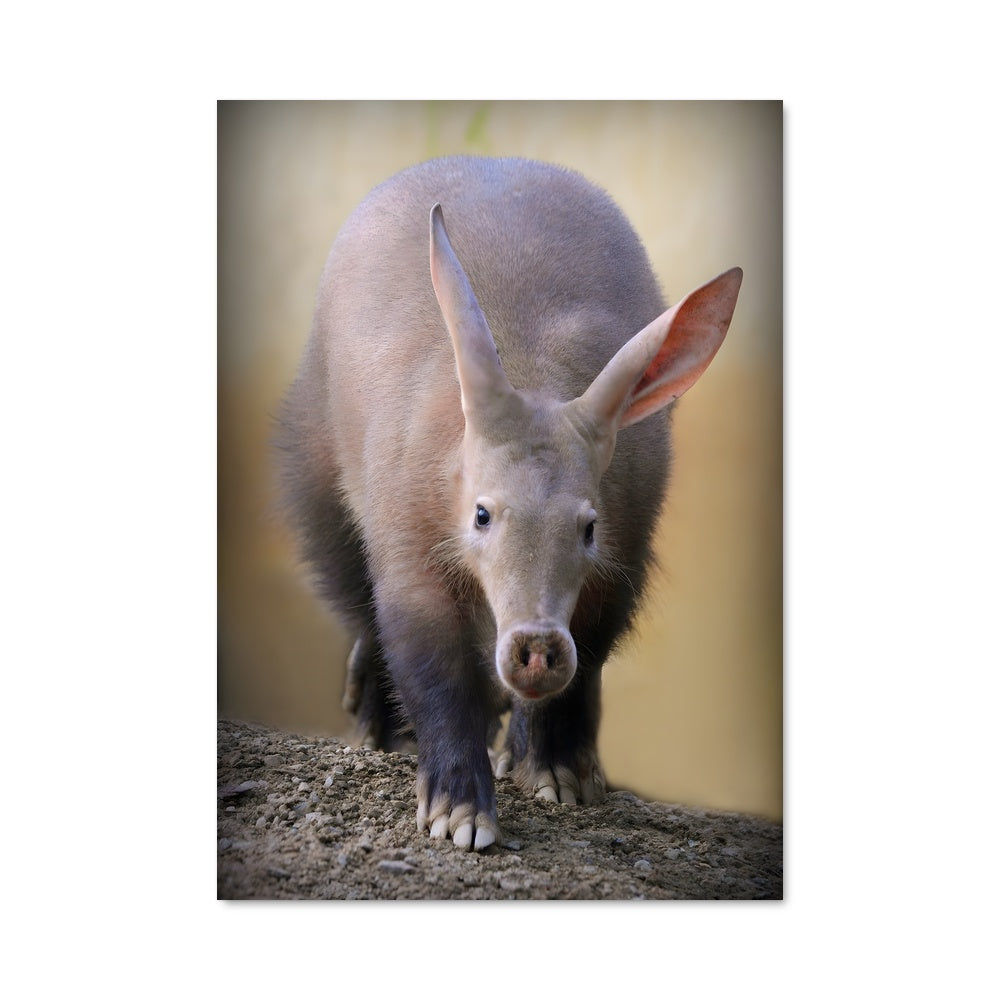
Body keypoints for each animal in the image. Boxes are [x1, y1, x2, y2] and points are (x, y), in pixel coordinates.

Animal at [277, 156, 741, 851]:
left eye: (589, 527)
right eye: (481, 514)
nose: (536, 644)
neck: (531, 373)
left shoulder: (620, 565)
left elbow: (582, 668)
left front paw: (558, 776)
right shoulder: (410, 553)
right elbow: (432, 669)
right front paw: (458, 813)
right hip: (315, 472)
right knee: (351, 595)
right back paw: (378, 724)